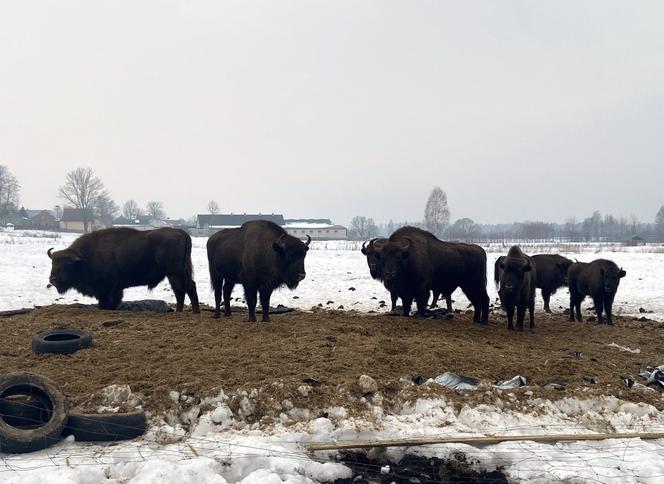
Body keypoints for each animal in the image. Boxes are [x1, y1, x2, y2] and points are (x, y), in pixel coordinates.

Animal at [47, 228, 200, 312]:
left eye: (67, 265)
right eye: (53, 262)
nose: (52, 279)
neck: (85, 258)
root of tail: (181, 232)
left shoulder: (106, 289)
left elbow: (106, 301)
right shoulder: (116, 289)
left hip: (175, 272)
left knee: (185, 288)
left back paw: (193, 311)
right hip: (174, 273)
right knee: (182, 290)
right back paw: (181, 311)